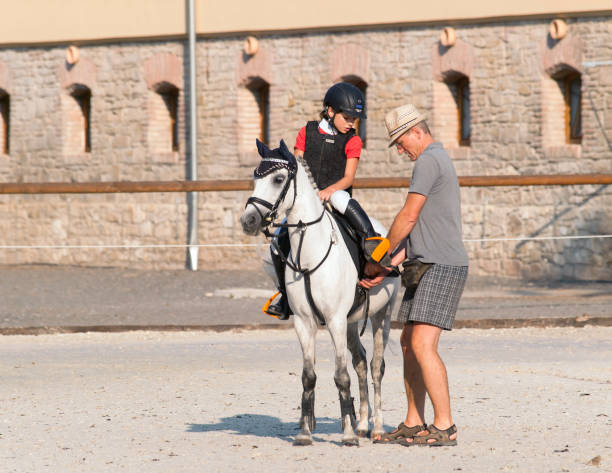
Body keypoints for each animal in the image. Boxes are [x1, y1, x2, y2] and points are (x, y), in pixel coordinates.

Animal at [241, 140, 400, 446]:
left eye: (278, 179)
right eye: (255, 178)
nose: (249, 220)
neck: (309, 252)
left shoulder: (335, 320)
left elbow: (340, 376)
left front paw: (347, 436)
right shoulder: (305, 323)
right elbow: (309, 376)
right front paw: (305, 432)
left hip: (381, 317)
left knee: (376, 366)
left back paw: (375, 428)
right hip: (351, 323)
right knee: (361, 363)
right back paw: (362, 423)